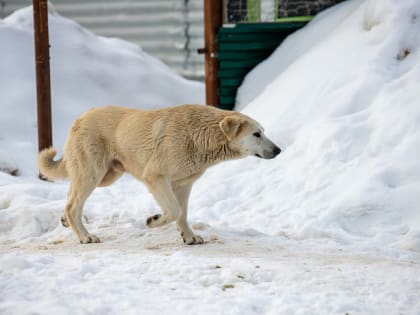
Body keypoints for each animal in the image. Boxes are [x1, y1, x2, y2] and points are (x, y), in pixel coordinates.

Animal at [38, 105, 282, 246]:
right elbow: (173, 211)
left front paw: (189, 237)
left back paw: (66, 220)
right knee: (74, 204)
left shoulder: (184, 184)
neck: (200, 136)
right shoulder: (156, 177)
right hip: (93, 173)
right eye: (256, 134)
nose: (279, 150)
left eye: (263, 132)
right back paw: (85, 236)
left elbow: (182, 214)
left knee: (71, 196)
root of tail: (79, 119)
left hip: (106, 176)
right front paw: (153, 221)